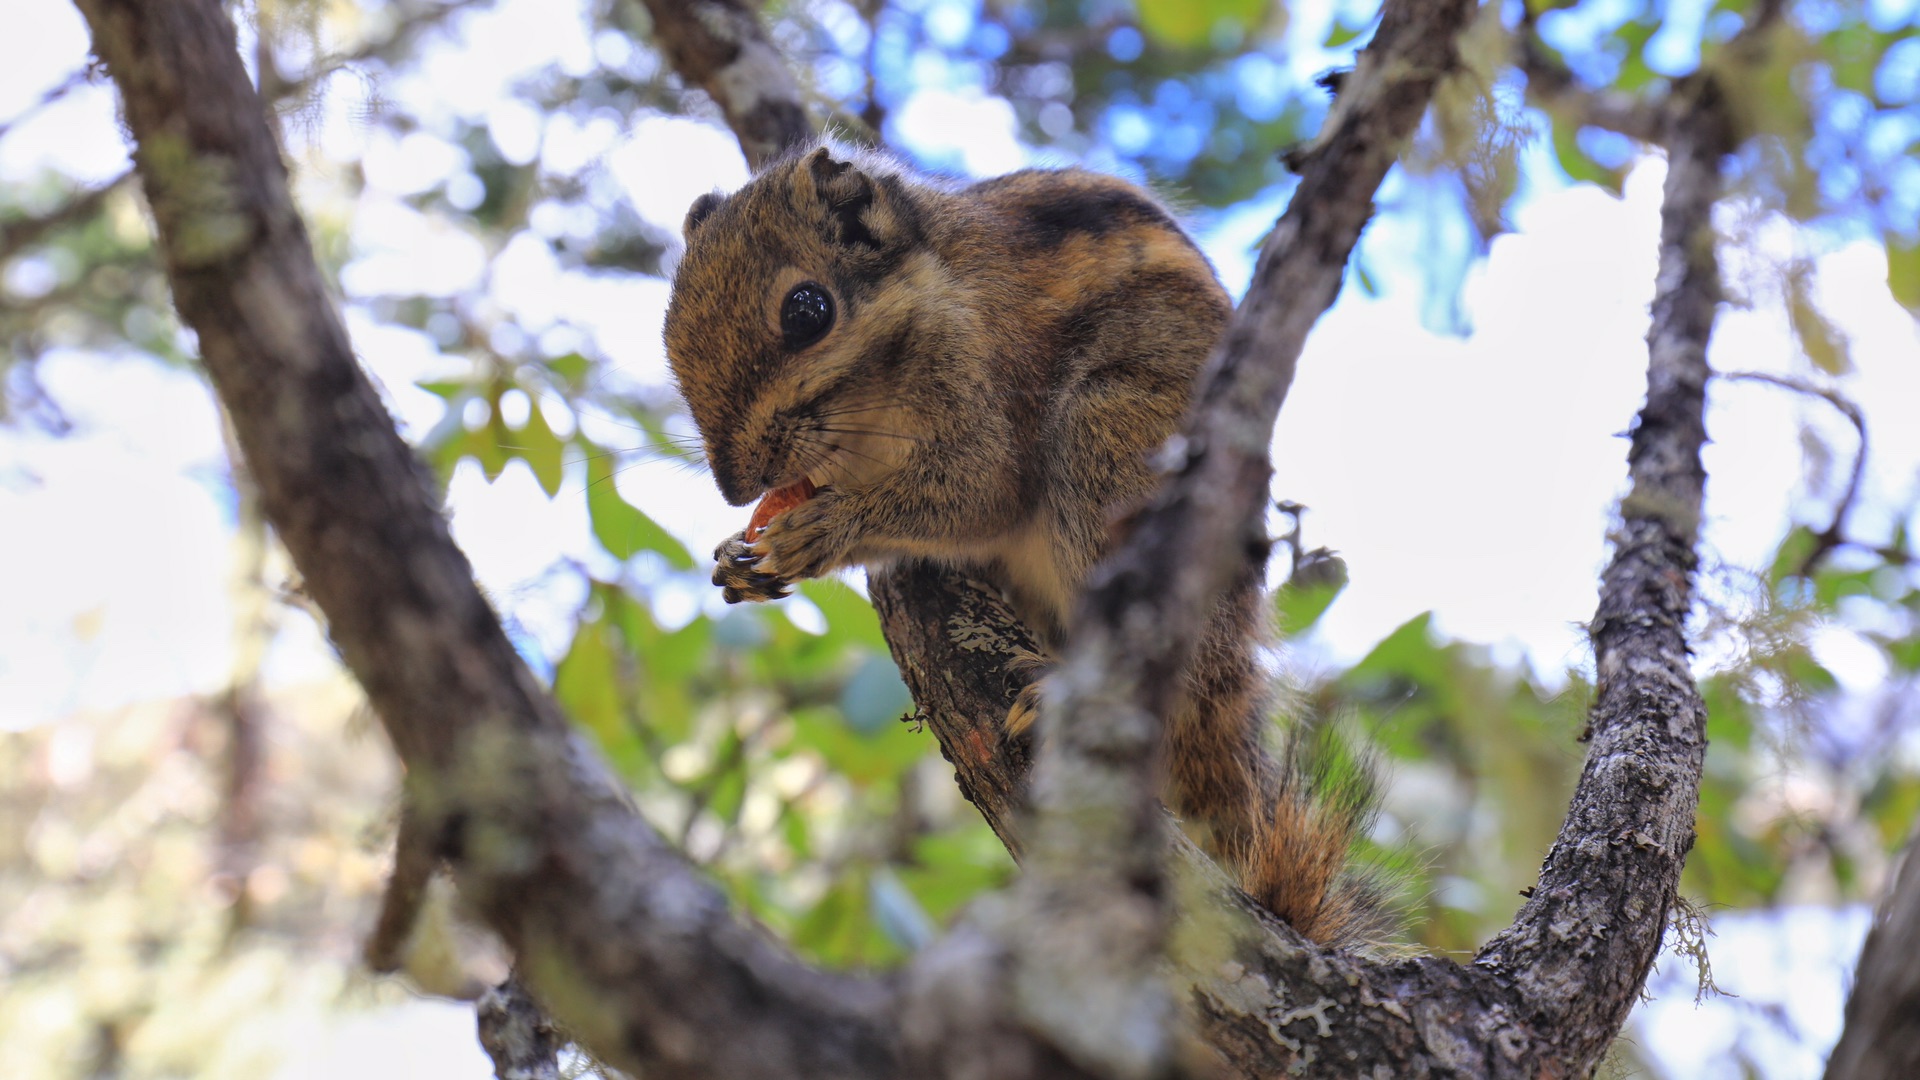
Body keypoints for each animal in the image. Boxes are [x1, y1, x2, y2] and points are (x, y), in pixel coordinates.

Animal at [668, 141, 1390, 941]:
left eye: (807, 311)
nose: (734, 486)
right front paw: (739, 558)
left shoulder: (984, 387)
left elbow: (976, 494)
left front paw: (823, 531)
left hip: (1108, 439)